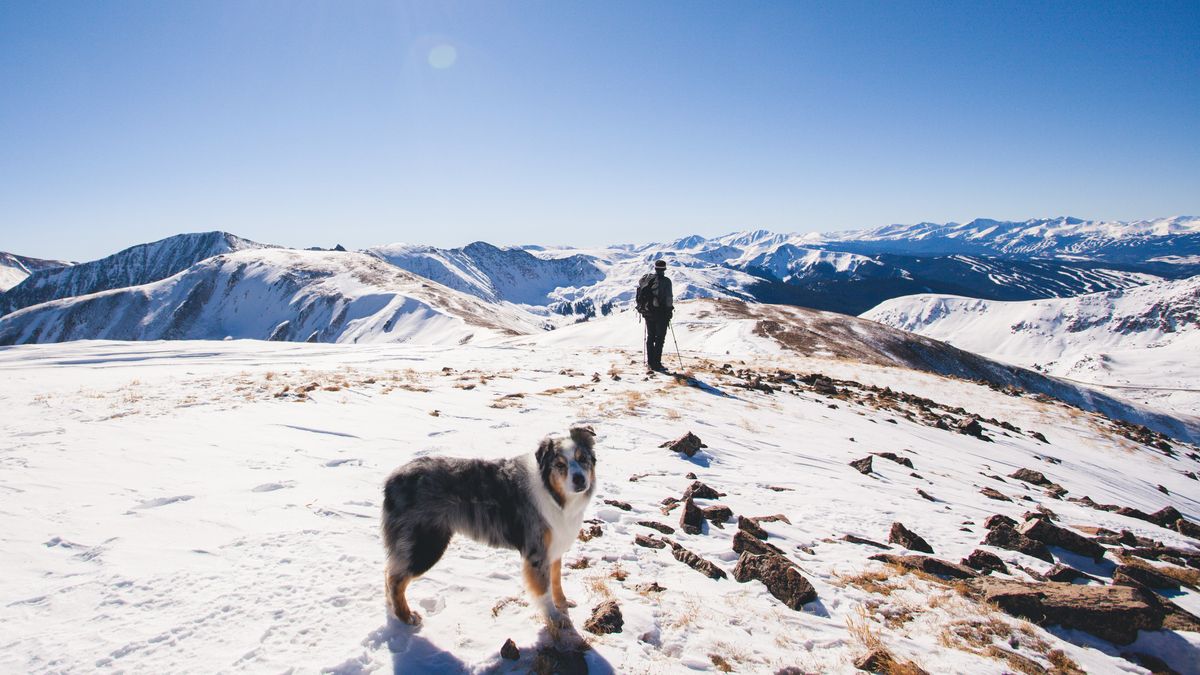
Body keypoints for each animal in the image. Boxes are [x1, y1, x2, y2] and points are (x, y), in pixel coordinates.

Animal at [379, 422, 595, 629]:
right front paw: (555, 618)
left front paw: (563, 604)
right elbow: (544, 590)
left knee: (390, 570)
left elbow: (556, 580)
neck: (554, 494)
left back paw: (391, 608)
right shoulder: (537, 552)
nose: (579, 479)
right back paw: (405, 616)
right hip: (425, 544)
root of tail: (391, 479)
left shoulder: (555, 547)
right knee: (395, 578)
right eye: (559, 464)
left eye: (582, 458)